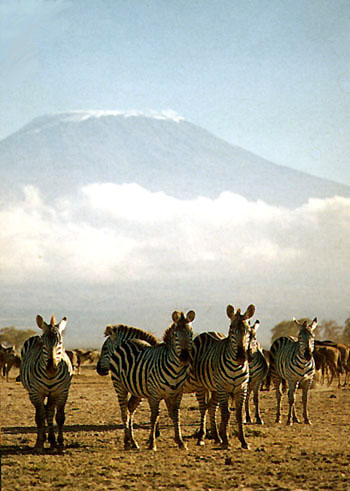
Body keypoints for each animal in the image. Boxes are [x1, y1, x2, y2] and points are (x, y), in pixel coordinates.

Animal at [19, 318, 73, 452]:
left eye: (60, 342)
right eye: (44, 343)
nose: (51, 368)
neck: (50, 376)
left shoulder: (62, 392)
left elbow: (60, 417)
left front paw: (60, 444)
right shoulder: (36, 393)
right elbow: (39, 417)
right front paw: (39, 444)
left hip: (52, 394)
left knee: (49, 411)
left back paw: (52, 441)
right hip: (33, 393)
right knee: (43, 413)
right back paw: (45, 439)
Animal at [102, 314, 196, 452]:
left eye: (191, 334)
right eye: (176, 335)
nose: (184, 358)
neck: (177, 369)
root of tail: (129, 342)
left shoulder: (177, 394)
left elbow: (176, 415)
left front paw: (180, 441)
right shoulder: (154, 395)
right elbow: (154, 417)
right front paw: (152, 442)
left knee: (130, 409)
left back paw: (132, 441)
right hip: (120, 386)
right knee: (125, 412)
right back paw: (127, 442)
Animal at [185, 306, 256, 452]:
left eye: (248, 332)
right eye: (231, 330)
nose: (241, 357)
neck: (236, 367)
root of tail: (207, 332)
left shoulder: (242, 388)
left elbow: (239, 414)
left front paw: (243, 441)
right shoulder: (223, 388)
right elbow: (225, 413)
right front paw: (226, 442)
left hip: (214, 388)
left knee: (211, 407)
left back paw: (217, 437)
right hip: (202, 386)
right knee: (203, 408)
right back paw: (202, 437)